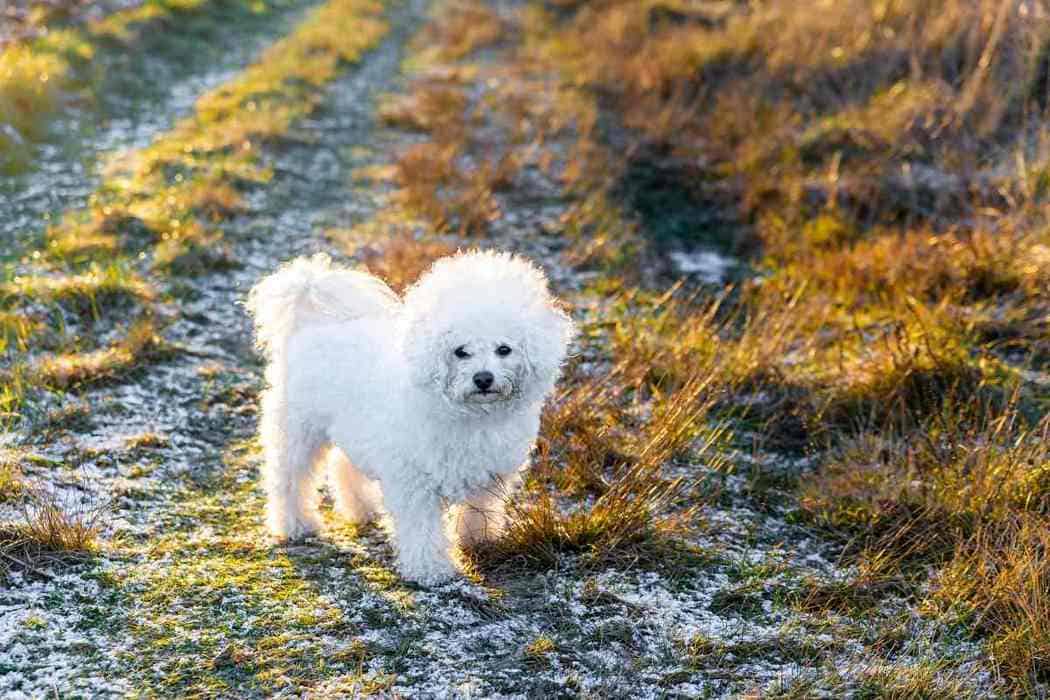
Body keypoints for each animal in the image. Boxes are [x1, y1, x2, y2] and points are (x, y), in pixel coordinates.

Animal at [243, 248, 575, 583]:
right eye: (461, 351)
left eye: (504, 349)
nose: (483, 379)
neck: (469, 415)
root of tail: (310, 321)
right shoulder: (414, 481)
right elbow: (422, 530)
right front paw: (431, 570)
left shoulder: (490, 477)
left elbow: (478, 511)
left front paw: (478, 539)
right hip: (298, 431)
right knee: (290, 479)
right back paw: (295, 524)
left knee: (343, 466)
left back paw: (361, 508)